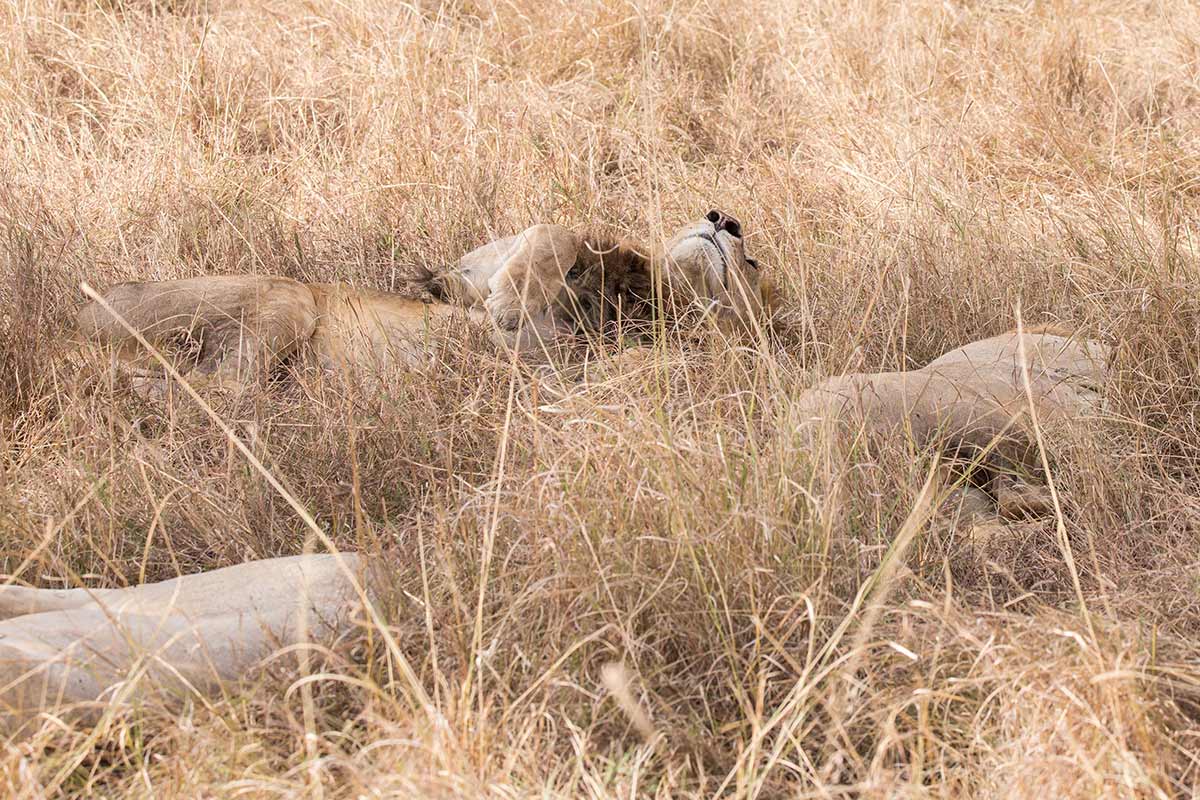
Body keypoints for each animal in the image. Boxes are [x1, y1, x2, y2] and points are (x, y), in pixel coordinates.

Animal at [76, 210, 769, 391]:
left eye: (754, 264)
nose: (725, 218)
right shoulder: (480, 265)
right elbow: (552, 232)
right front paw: (506, 299)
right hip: (285, 297)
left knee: (214, 394)